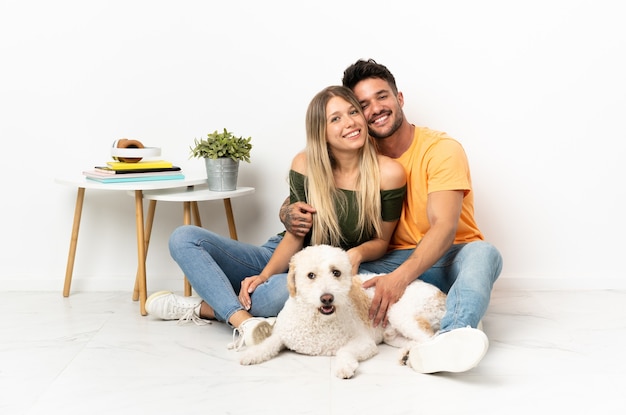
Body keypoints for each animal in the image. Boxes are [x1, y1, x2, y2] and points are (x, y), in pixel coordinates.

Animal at [236, 247, 446, 380]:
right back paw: (407, 355)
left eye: (336, 272)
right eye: (311, 275)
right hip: (392, 335)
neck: (317, 319)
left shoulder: (364, 343)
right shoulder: (285, 334)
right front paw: (251, 354)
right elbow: (268, 344)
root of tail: (441, 294)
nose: (327, 298)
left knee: (432, 338)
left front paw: (344, 367)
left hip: (400, 314)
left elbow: (344, 351)